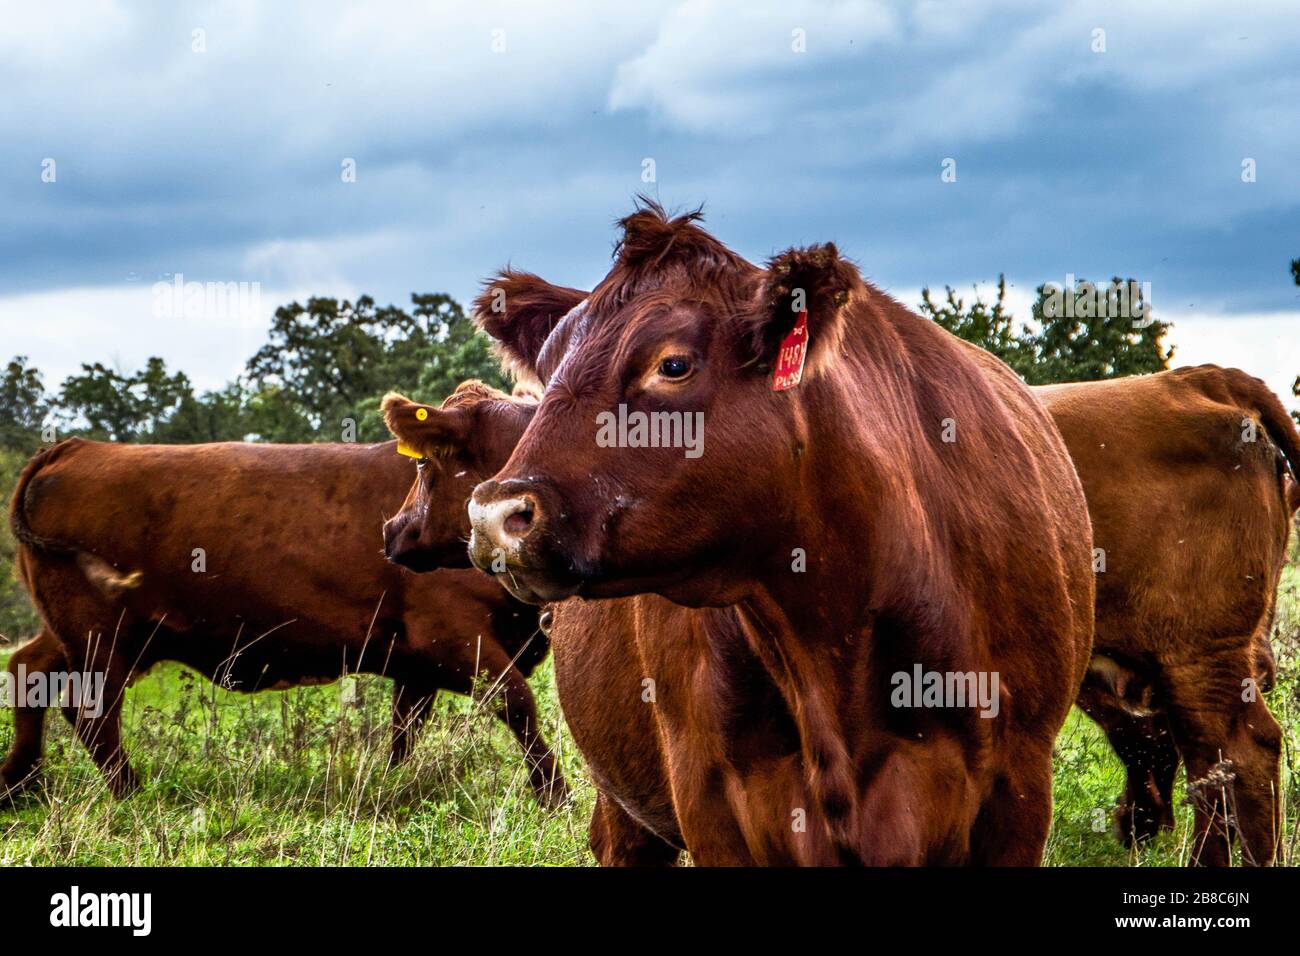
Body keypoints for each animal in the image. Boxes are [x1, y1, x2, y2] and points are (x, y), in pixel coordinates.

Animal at [3, 416, 564, 806]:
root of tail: (73, 448)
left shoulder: (416, 665)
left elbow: (404, 734)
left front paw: (393, 783)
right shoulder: (453, 638)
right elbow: (519, 704)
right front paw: (555, 797)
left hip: (85, 635)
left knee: (29, 669)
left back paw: (20, 784)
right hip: (102, 639)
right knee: (92, 712)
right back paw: (129, 792)